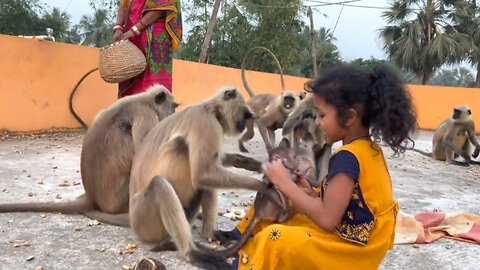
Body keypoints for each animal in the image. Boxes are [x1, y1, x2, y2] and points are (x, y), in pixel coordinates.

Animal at [0, 84, 178, 226]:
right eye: (173, 106)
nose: (174, 112)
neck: (145, 100)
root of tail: (92, 197)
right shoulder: (146, 115)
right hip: (123, 197)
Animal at [127, 86, 266, 270]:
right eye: (245, 116)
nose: (243, 126)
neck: (210, 109)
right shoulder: (206, 124)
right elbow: (201, 173)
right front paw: (267, 186)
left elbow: (209, 169)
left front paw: (250, 163)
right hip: (143, 219)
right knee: (160, 182)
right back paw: (191, 253)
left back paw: (210, 235)